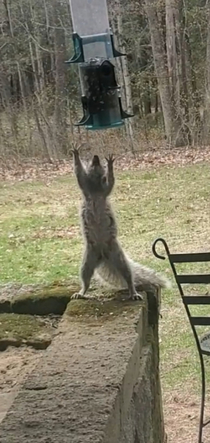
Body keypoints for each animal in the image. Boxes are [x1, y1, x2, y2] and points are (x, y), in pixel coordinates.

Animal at [71, 147, 170, 300]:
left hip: (117, 256)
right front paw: (76, 154)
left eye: (101, 164)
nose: (96, 157)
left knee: (128, 275)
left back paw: (133, 291)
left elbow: (111, 182)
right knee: (86, 277)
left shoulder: (105, 190)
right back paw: (82, 292)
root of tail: (103, 255)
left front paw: (111, 163)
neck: (95, 188)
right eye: (91, 162)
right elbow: (79, 173)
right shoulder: (85, 187)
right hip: (88, 259)